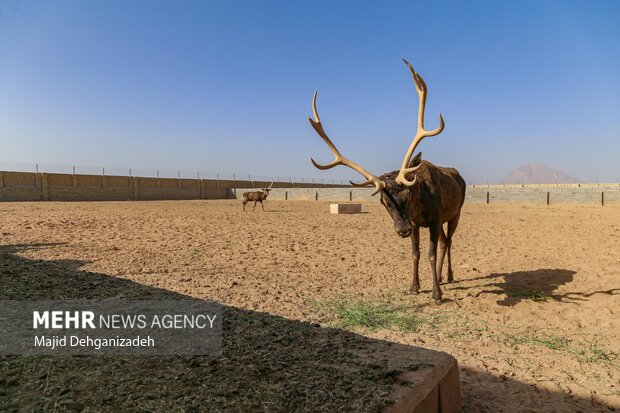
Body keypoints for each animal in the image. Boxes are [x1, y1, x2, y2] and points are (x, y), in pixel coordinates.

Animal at [310, 59, 464, 300]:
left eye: (407, 194)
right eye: (384, 202)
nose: (402, 230)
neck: (419, 208)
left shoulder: (435, 219)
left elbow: (430, 253)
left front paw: (436, 294)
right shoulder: (417, 223)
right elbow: (415, 253)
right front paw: (414, 286)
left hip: (456, 213)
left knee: (447, 242)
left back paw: (447, 276)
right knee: (444, 242)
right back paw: (440, 276)